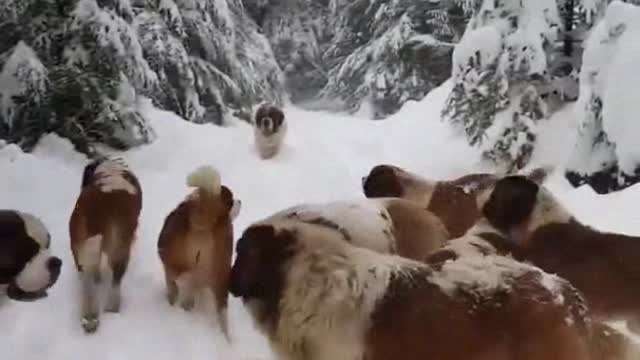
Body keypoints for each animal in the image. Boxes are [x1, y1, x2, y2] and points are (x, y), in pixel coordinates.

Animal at [68, 159, 141, 334]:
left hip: (78, 244)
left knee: (87, 280)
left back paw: (90, 317)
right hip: (120, 249)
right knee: (115, 282)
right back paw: (112, 308)